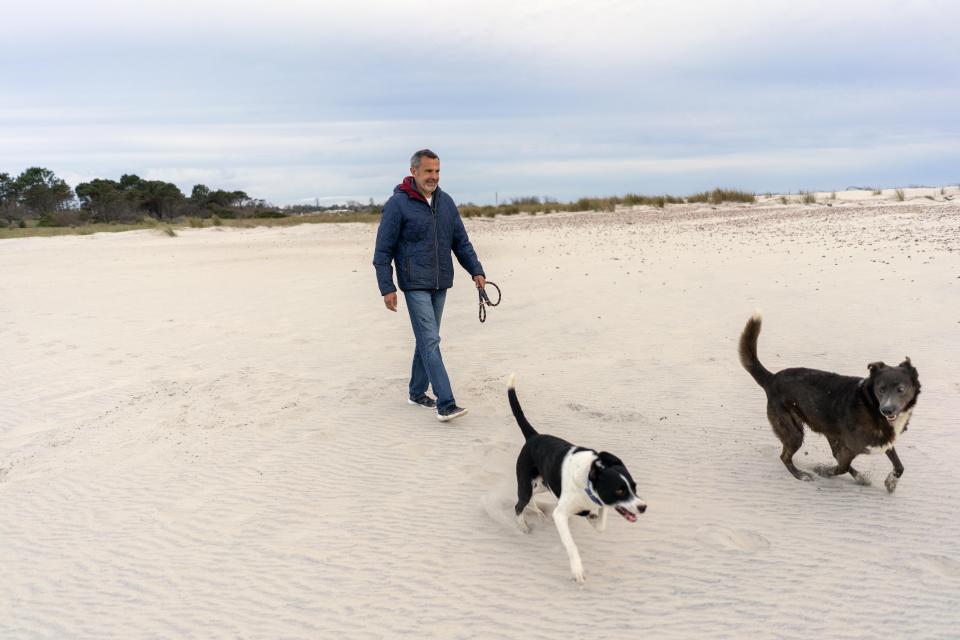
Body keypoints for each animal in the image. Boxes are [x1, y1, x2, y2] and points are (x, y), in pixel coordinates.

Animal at [506, 376, 648, 584]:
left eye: (634, 487)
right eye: (620, 490)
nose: (643, 507)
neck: (590, 479)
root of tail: (534, 436)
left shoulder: (595, 503)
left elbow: (600, 523)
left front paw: (592, 518)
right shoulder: (560, 514)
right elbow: (572, 545)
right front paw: (577, 570)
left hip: (544, 484)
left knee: (531, 497)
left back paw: (537, 511)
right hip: (527, 484)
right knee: (519, 504)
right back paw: (522, 526)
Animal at [740, 310, 920, 490]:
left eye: (900, 389)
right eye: (881, 389)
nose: (887, 410)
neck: (870, 406)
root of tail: (771, 379)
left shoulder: (883, 441)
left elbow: (899, 466)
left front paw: (891, 481)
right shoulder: (850, 447)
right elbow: (842, 467)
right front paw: (823, 471)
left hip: (829, 431)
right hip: (794, 432)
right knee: (785, 456)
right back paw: (801, 474)